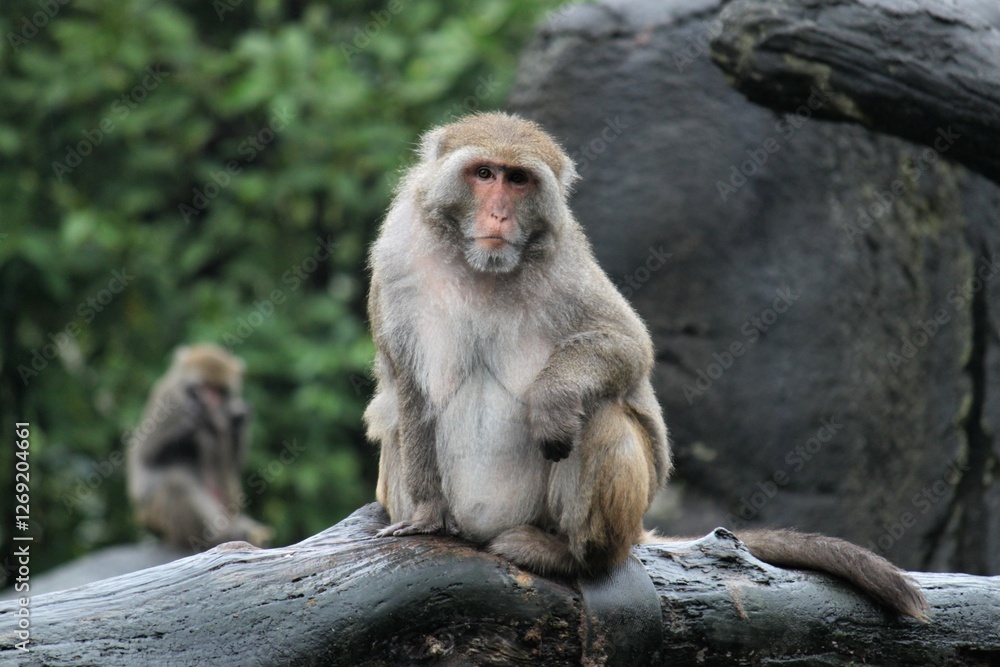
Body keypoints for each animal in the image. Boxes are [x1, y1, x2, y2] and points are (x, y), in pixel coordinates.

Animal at [127, 343, 273, 551]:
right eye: (204, 387)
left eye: (219, 390)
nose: (210, 401)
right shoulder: (168, 402)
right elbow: (145, 456)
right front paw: (193, 420)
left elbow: (233, 464)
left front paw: (237, 420)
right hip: (160, 520)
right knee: (176, 481)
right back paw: (221, 535)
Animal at [364, 112, 928, 621]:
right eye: (484, 174)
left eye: (517, 180)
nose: (499, 215)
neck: (480, 267)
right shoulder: (398, 253)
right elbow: (409, 386)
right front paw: (426, 515)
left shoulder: (565, 259)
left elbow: (627, 346)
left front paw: (551, 396)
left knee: (600, 415)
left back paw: (571, 556)